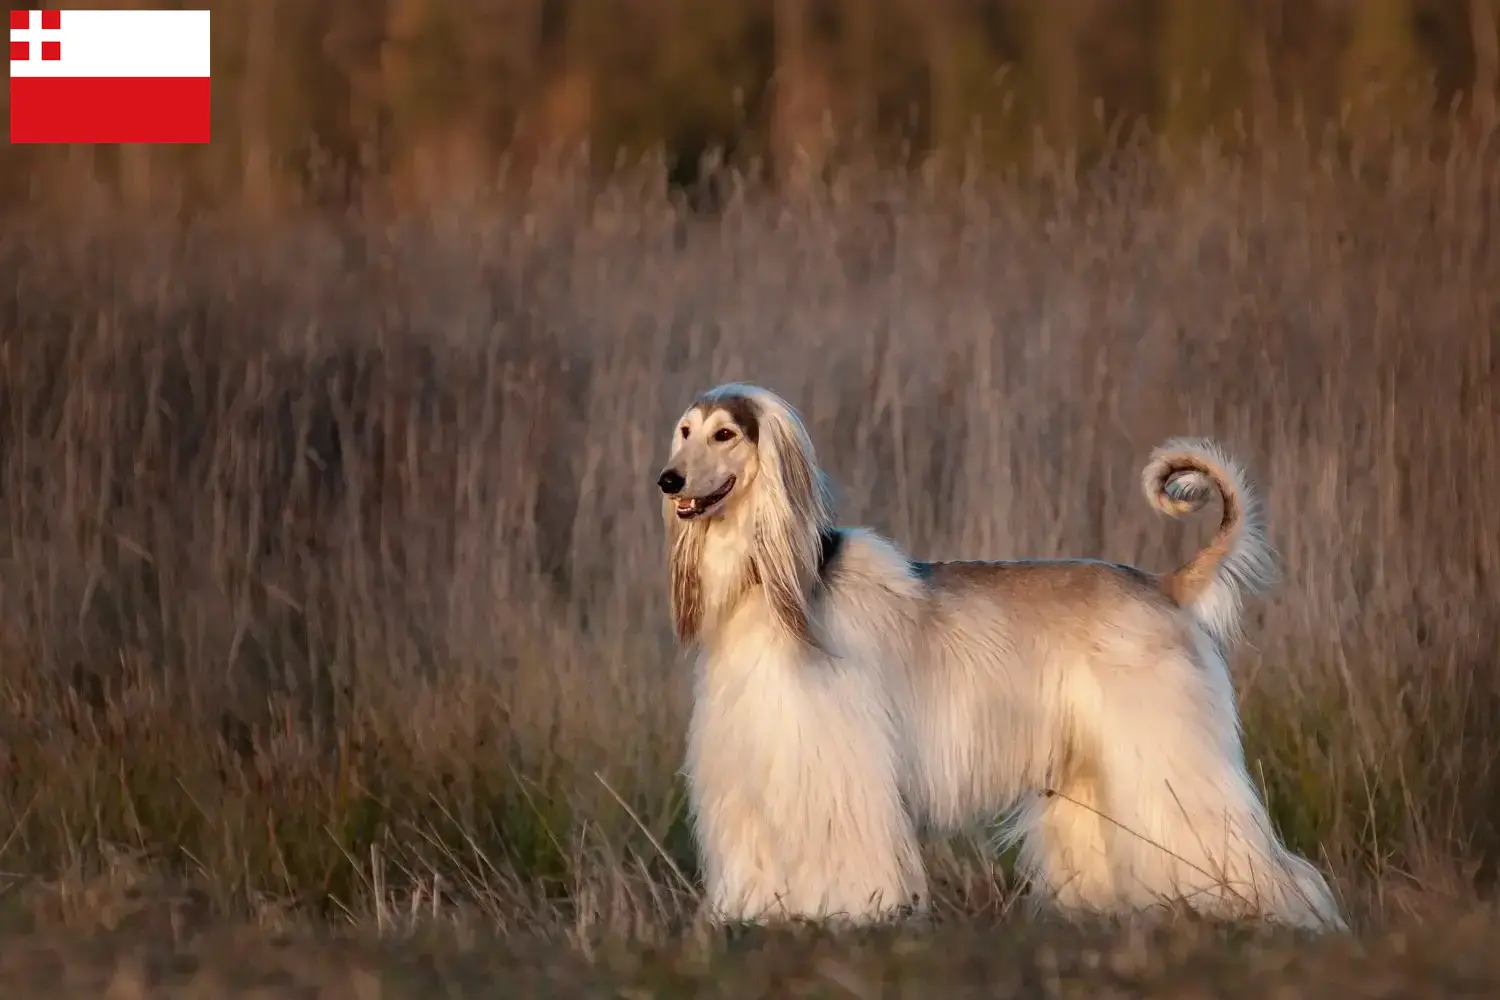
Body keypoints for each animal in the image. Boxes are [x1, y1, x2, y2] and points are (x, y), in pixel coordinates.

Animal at [663, 380, 1344, 929]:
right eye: (685, 431)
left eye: (725, 435)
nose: (669, 480)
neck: (772, 591)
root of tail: (1164, 584)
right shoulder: (752, 760)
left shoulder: (832, 759)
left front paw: (846, 912)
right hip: (1097, 767)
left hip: (1167, 753)